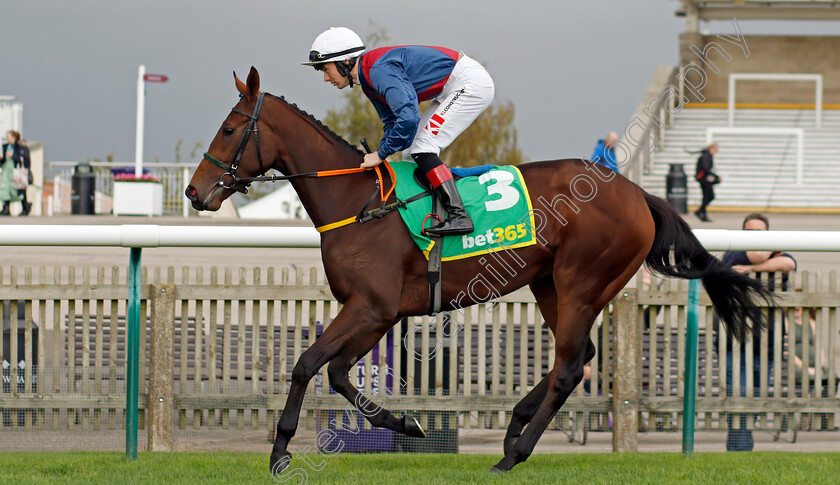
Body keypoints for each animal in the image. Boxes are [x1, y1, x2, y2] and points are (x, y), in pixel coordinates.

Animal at [187, 66, 772, 470]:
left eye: (230, 128)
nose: (194, 193)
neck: (358, 201)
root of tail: (637, 194)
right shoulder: (376, 313)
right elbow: (336, 372)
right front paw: (406, 423)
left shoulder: (370, 307)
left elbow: (307, 364)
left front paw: (280, 451)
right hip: (550, 284)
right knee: (579, 357)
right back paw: (514, 428)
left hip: (581, 281)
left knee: (568, 366)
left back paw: (515, 453)